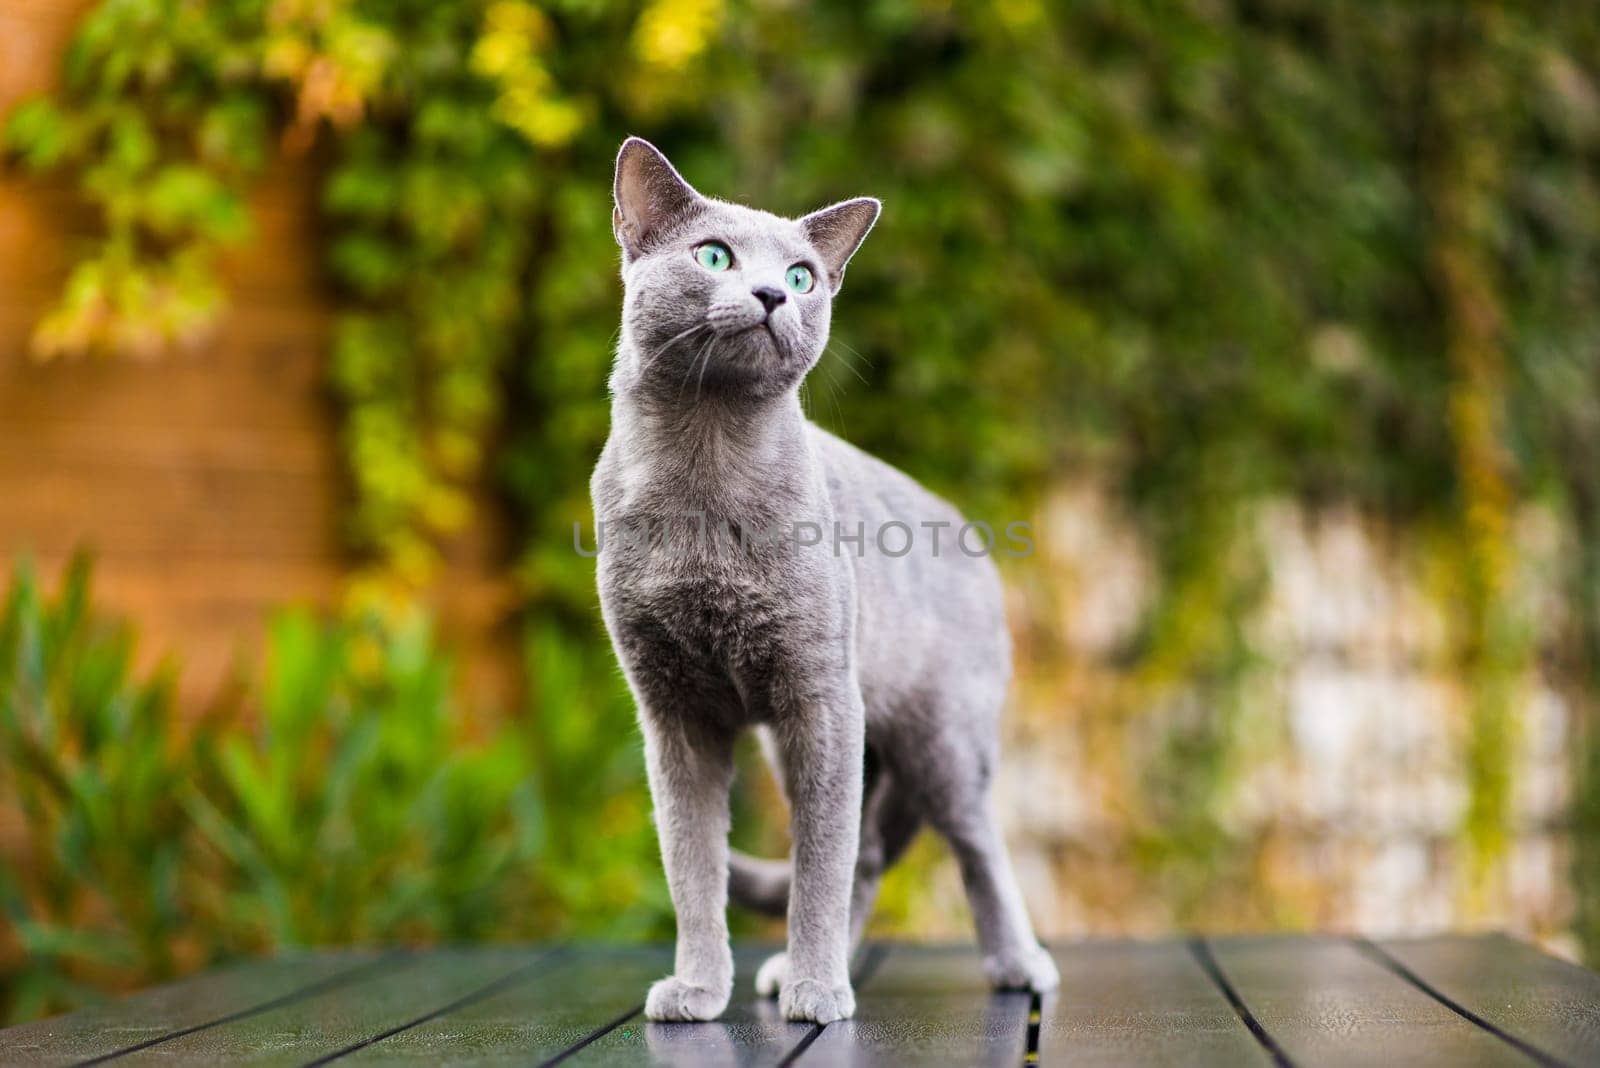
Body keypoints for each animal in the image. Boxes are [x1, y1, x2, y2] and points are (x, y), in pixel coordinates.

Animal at [595, 137, 1056, 1023]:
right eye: (715, 256)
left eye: (804, 274)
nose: (774, 292)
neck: (705, 478)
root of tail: (969, 531)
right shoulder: (673, 713)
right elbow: (693, 864)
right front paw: (700, 989)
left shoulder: (821, 696)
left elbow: (819, 861)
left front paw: (817, 989)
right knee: (871, 853)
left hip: (942, 737)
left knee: (970, 842)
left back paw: (1016, 963)